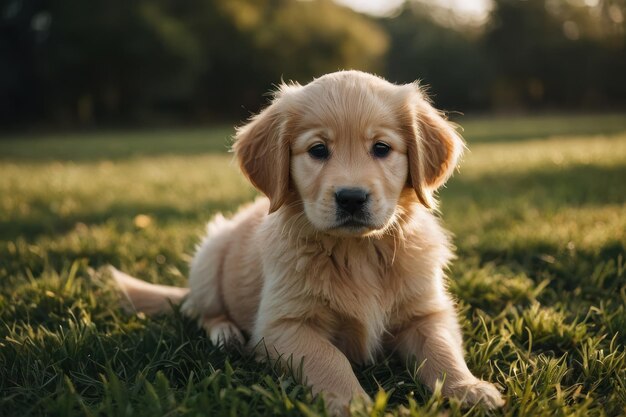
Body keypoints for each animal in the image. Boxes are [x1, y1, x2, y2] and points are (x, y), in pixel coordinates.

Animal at [111, 70, 502, 412]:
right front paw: (351, 402)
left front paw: (469, 389)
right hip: (211, 253)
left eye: (381, 148)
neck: (357, 251)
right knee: (203, 311)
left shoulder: (426, 312)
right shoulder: (281, 326)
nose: (351, 198)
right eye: (317, 150)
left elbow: (441, 349)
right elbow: (328, 357)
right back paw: (226, 334)